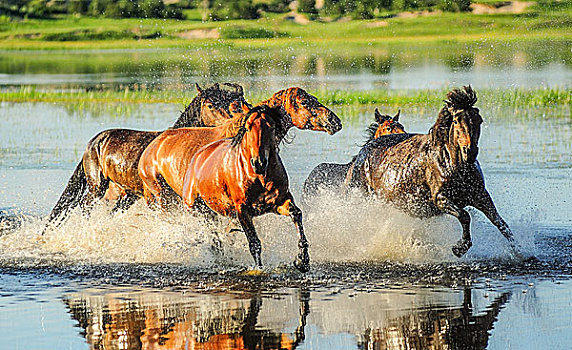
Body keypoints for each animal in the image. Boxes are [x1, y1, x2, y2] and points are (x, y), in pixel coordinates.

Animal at [40, 82, 246, 232]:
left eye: (229, 104)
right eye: (210, 105)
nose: (231, 124)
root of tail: (94, 142)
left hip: (127, 195)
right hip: (97, 186)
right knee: (86, 207)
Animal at [183, 105, 310, 272]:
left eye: (272, 127)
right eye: (248, 127)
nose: (259, 163)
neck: (260, 178)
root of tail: (197, 157)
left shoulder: (279, 202)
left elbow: (296, 214)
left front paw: (302, 261)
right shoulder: (242, 210)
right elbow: (254, 243)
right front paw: (258, 269)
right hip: (198, 209)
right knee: (212, 235)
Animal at [344, 86, 520, 258]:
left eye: (479, 120)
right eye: (456, 121)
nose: (470, 152)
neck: (452, 163)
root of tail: (362, 155)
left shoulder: (480, 195)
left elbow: (500, 223)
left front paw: (519, 251)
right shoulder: (441, 199)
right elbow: (464, 216)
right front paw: (460, 248)